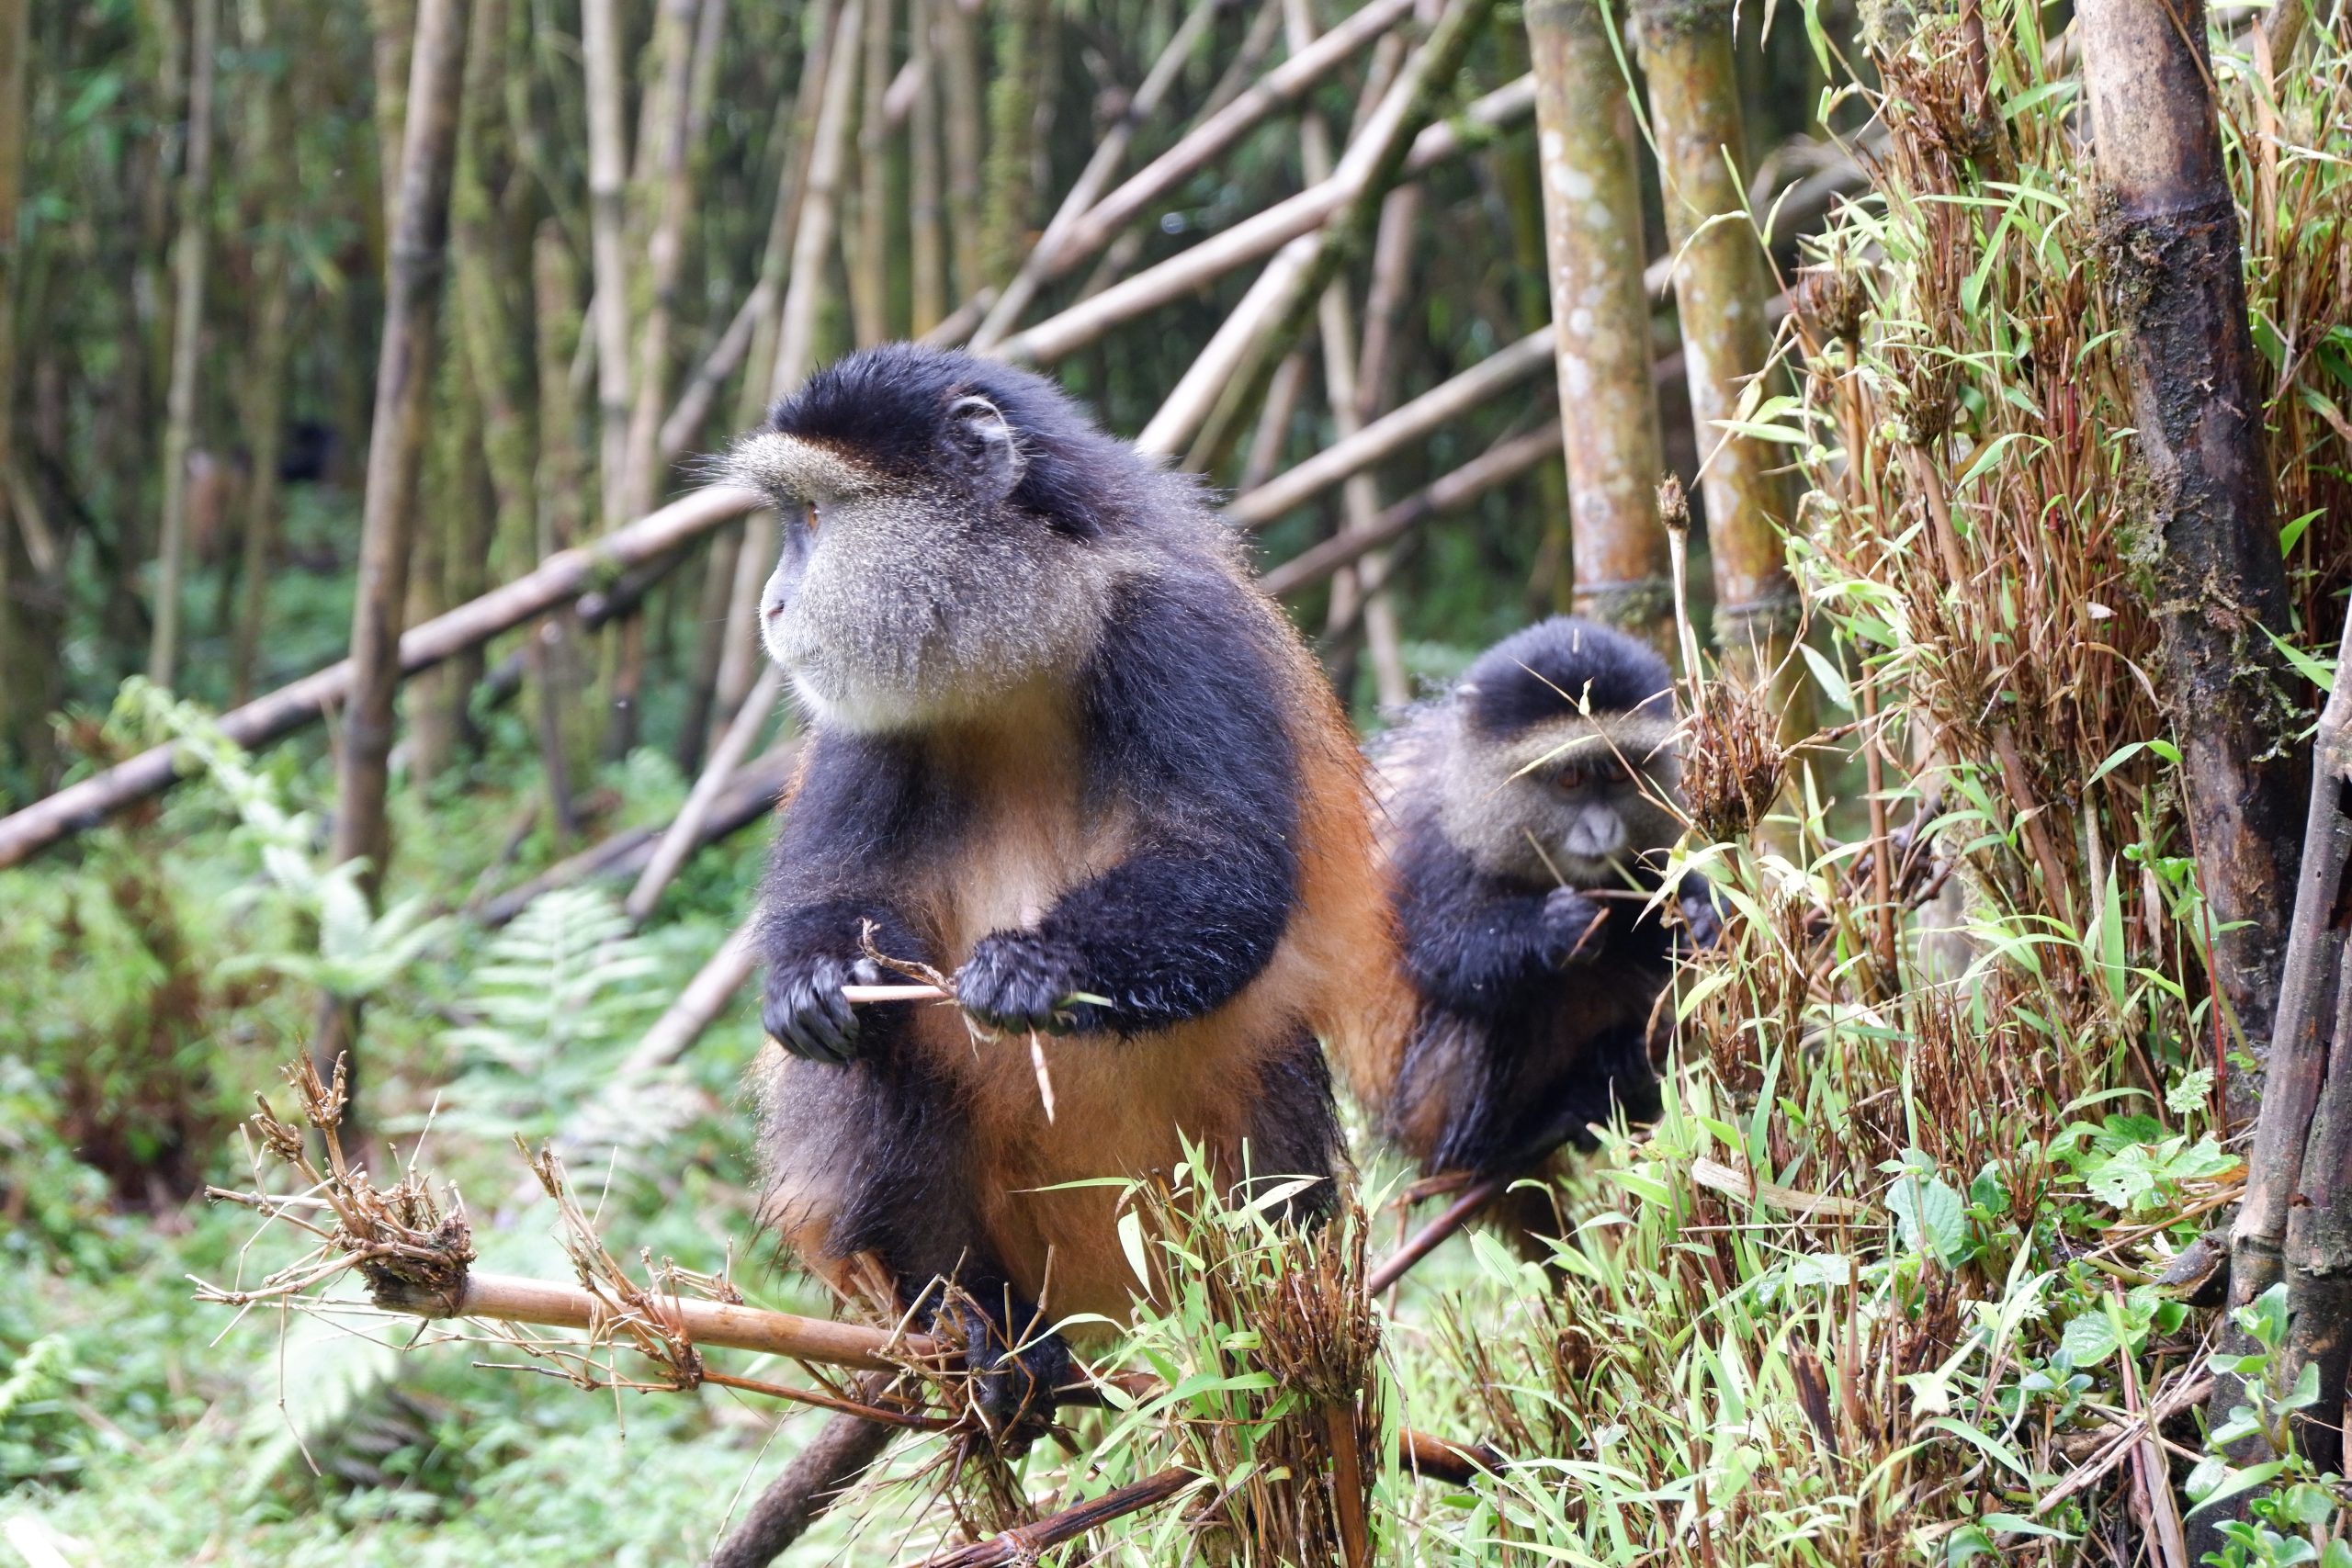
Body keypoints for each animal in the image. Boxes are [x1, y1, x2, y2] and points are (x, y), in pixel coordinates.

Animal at [727, 344, 1403, 1437]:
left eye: (817, 519)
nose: (774, 606)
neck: (1026, 642)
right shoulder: (860, 720)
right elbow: (835, 898)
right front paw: (812, 983)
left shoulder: (1177, 633)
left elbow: (1226, 872)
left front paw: (1036, 966)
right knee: (880, 1055)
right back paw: (982, 1331)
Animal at [1330, 616, 1718, 1234]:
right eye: (1570, 780)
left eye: (1618, 772)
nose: (1602, 830)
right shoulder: (1431, 843)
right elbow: (1439, 957)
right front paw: (1554, 931)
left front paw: (1699, 917)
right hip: (1425, 1110)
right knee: (1497, 1007)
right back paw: (1505, 1142)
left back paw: (1622, 1067)